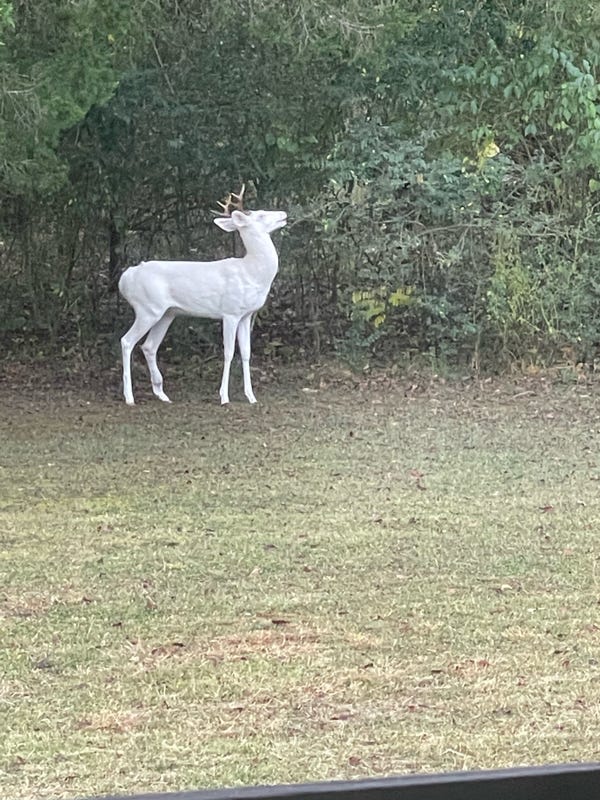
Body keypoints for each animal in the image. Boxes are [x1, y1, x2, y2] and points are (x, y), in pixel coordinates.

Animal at [118, 185, 287, 405]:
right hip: (147, 309)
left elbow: (247, 354)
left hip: (166, 313)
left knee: (149, 346)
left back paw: (162, 394)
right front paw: (224, 397)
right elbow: (228, 353)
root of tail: (125, 279)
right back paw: (129, 397)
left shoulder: (246, 315)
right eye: (260, 214)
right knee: (127, 341)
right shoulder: (230, 312)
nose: (283, 214)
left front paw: (251, 397)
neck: (252, 272)